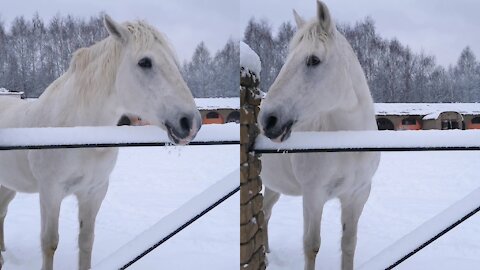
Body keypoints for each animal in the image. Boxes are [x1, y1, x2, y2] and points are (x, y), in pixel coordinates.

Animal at [0, 15, 201, 270]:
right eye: (145, 62)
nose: (191, 123)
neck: (80, 135)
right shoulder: (50, 192)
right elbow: (49, 242)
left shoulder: (94, 192)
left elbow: (86, 241)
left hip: (8, 186)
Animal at [260, 1, 380, 268]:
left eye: (313, 60)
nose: (268, 120)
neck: (346, 146)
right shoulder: (313, 196)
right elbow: (311, 245)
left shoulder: (357, 195)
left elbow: (349, 244)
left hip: (273, 186)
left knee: (265, 213)